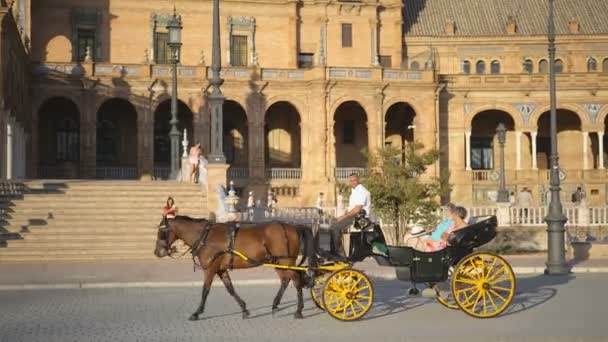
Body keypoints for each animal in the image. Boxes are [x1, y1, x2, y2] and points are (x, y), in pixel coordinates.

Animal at [152, 216, 316, 320]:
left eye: (161, 232)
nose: (157, 252)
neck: (205, 237)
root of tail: (293, 226)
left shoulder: (210, 269)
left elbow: (205, 291)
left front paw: (197, 313)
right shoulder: (221, 269)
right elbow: (230, 289)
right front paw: (244, 309)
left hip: (285, 260)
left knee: (296, 280)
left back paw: (299, 310)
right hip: (278, 261)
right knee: (286, 280)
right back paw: (275, 305)